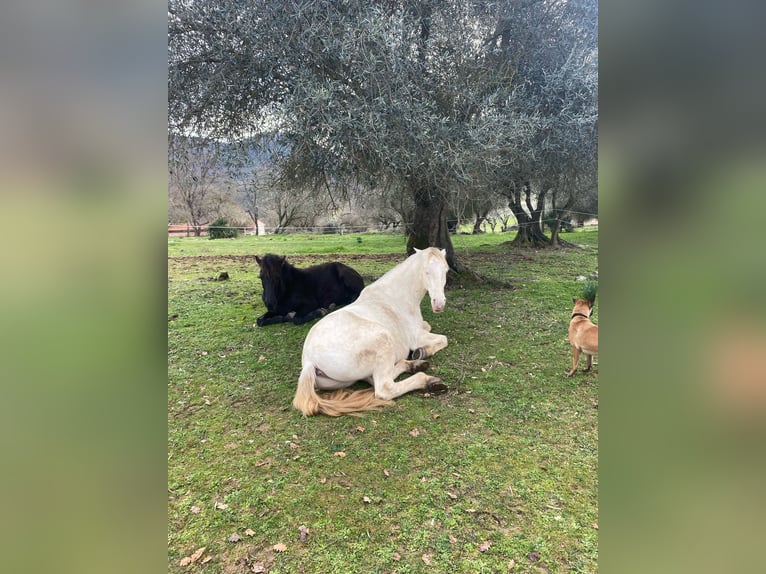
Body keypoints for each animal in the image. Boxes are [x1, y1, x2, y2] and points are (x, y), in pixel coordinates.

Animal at [292, 248, 450, 418]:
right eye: (426, 271)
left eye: (445, 270)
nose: (439, 304)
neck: (396, 297)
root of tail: (309, 361)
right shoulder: (416, 337)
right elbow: (443, 339)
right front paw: (423, 351)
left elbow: (429, 326)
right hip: (383, 341)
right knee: (384, 388)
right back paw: (428, 380)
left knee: (376, 378)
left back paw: (415, 365)